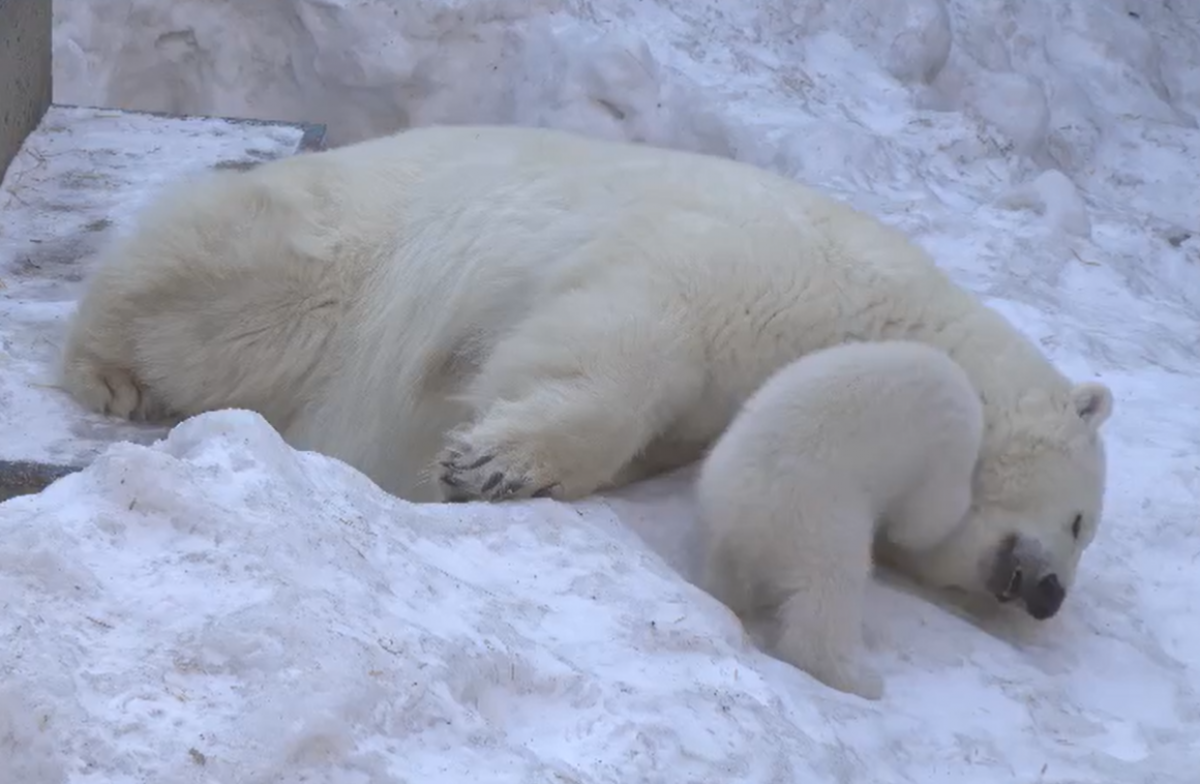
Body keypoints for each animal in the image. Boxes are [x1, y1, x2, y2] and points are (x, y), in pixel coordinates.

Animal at [63, 125, 1113, 619]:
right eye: (1078, 520)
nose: (1050, 593)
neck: (885, 306)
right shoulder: (739, 265)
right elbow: (622, 339)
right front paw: (492, 465)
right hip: (338, 257)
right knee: (221, 297)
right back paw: (111, 370)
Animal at [696, 338, 984, 701]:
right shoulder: (946, 444)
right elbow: (930, 515)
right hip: (819, 519)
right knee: (830, 593)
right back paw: (860, 679)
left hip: (725, 523)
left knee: (726, 577)